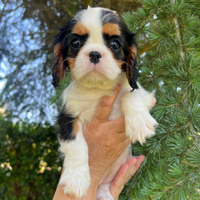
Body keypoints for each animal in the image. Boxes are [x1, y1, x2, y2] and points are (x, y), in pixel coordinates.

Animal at [52, 6, 158, 200]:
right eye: (76, 42)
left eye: (115, 44)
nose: (94, 54)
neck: (97, 89)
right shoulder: (68, 114)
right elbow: (76, 144)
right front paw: (76, 180)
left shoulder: (143, 93)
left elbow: (130, 95)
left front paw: (139, 125)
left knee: (103, 187)